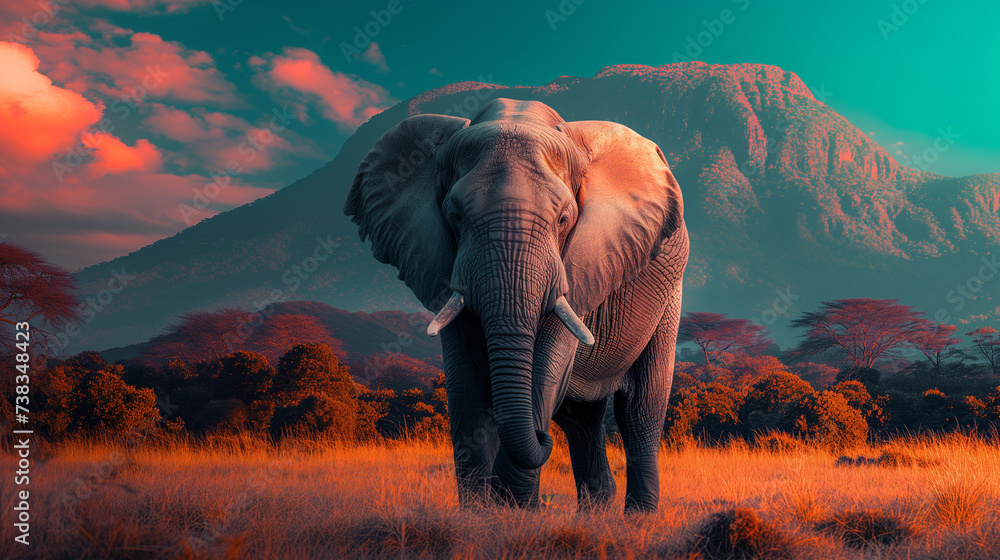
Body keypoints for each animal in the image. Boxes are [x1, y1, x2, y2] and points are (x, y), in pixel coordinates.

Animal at [344, 98, 688, 513]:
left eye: (564, 218)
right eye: (454, 216)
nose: (541, 437)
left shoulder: (578, 266)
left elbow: (547, 367)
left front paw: (514, 511)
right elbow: (465, 381)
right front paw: (480, 515)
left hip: (669, 291)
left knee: (639, 410)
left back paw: (637, 518)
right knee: (582, 420)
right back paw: (595, 512)